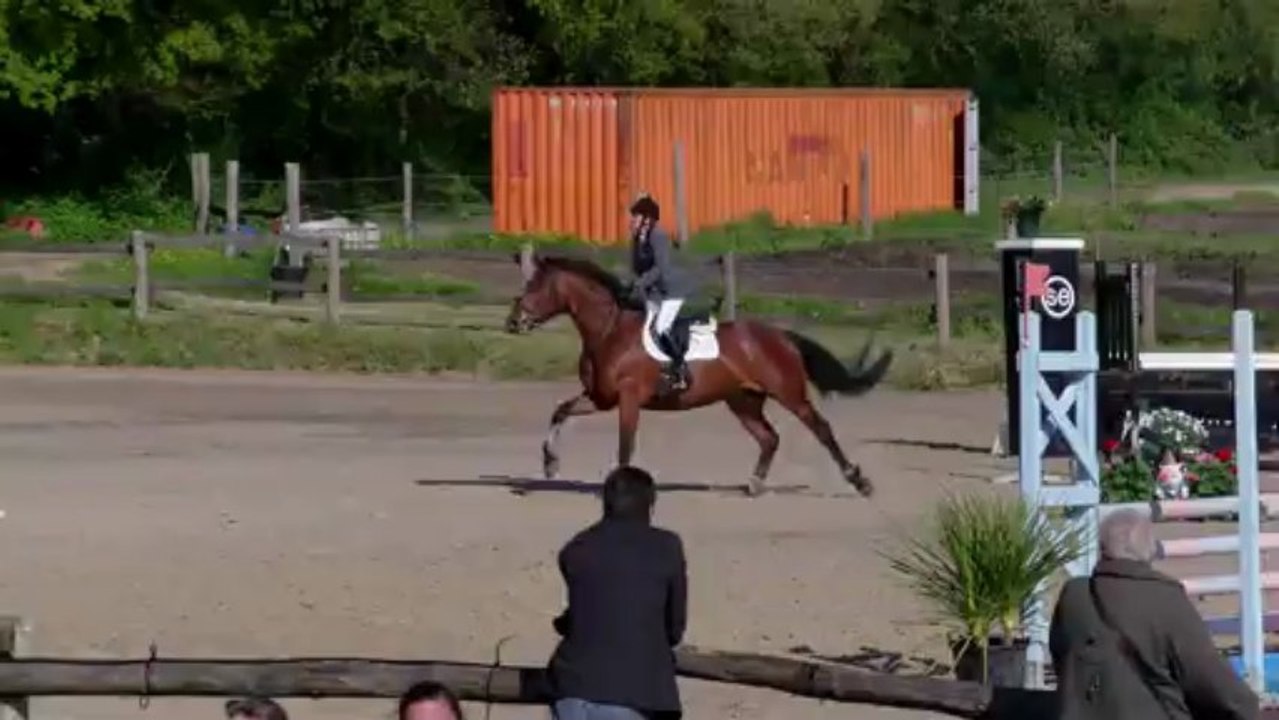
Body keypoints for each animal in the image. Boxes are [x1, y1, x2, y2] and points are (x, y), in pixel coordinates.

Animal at [504, 250, 894, 497]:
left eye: (535, 288)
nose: (513, 322)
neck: (609, 331)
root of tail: (780, 335)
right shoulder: (602, 399)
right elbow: (560, 412)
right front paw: (550, 464)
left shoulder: (628, 398)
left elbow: (625, 444)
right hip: (743, 401)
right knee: (769, 438)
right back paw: (754, 485)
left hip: (789, 393)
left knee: (821, 429)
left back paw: (859, 481)